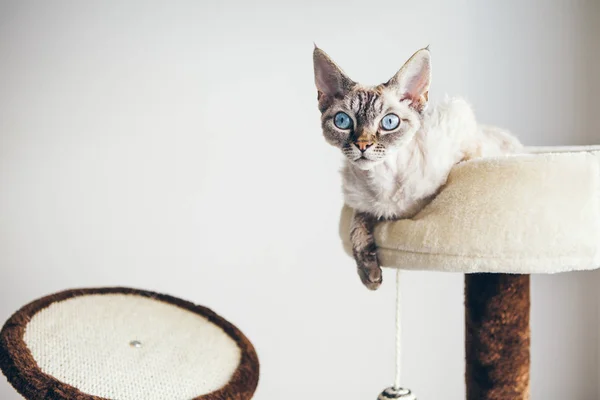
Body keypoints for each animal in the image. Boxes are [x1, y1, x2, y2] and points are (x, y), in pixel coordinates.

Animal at [314, 46, 520, 290]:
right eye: (343, 121)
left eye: (389, 122)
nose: (363, 145)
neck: (381, 180)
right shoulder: (362, 204)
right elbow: (357, 227)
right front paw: (370, 275)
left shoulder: (459, 124)